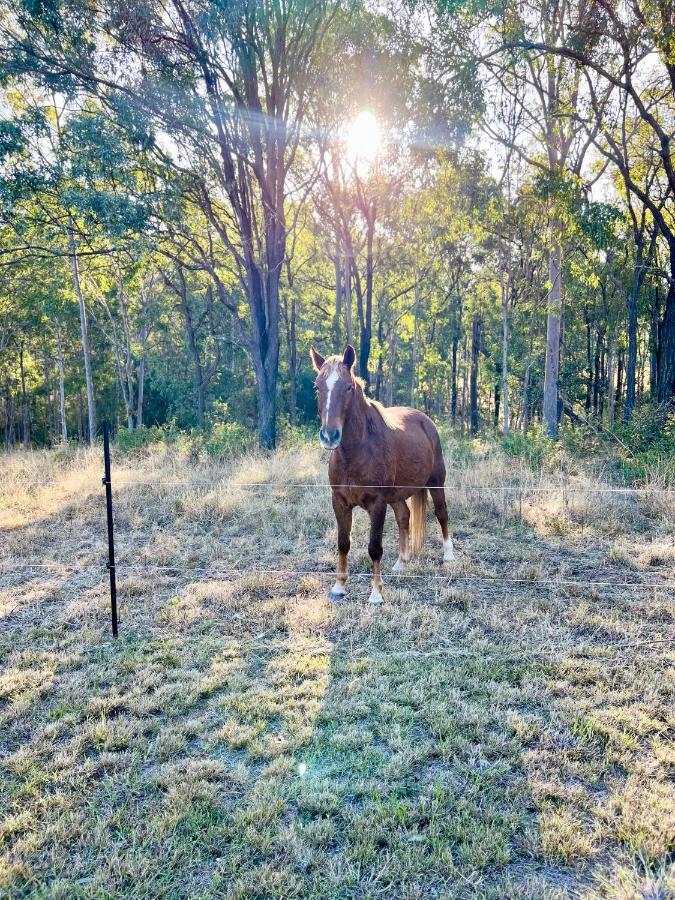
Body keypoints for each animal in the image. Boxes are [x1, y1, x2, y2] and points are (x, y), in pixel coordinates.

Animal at [312, 344, 454, 604]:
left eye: (348, 387)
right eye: (317, 386)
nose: (329, 436)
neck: (356, 452)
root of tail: (425, 421)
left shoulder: (377, 504)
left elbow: (374, 547)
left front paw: (376, 593)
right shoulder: (339, 502)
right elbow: (343, 543)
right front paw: (339, 587)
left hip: (436, 482)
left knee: (442, 513)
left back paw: (449, 555)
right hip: (397, 495)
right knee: (404, 516)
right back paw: (401, 562)